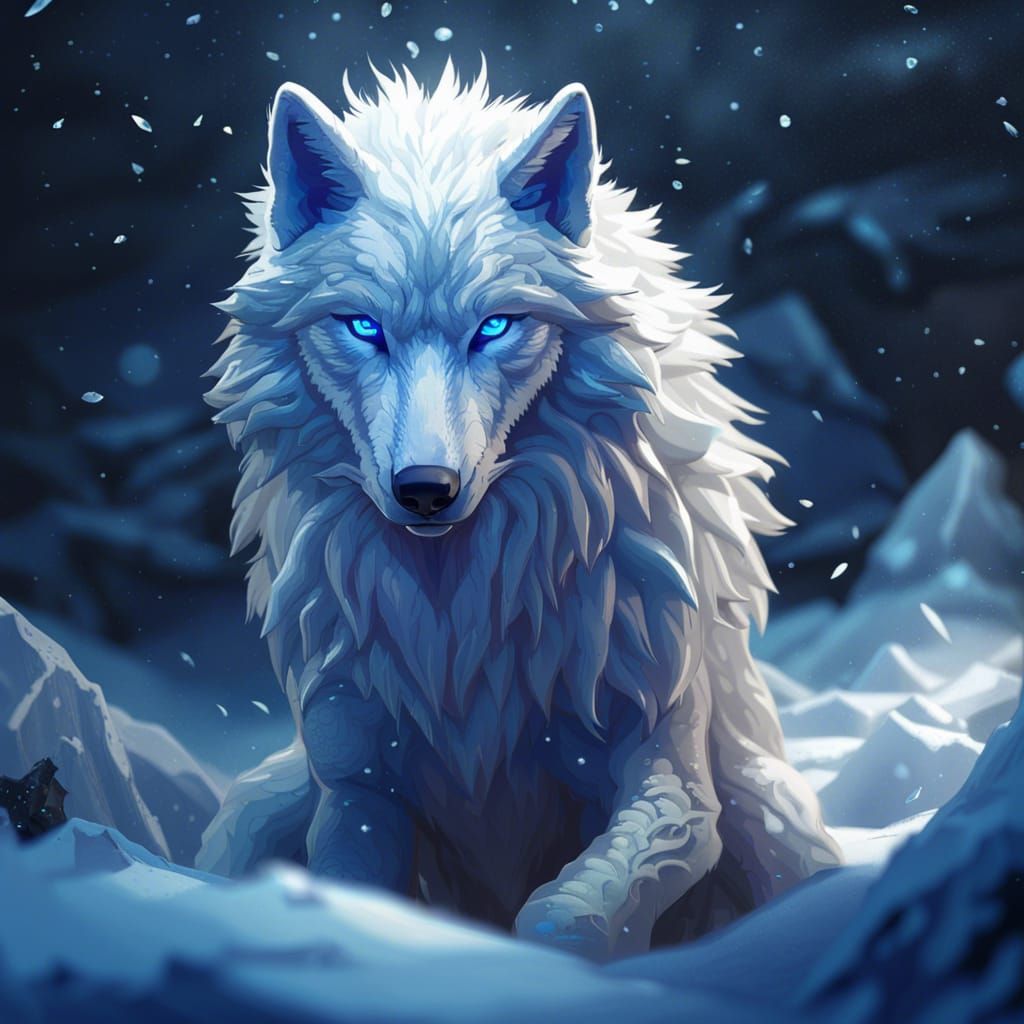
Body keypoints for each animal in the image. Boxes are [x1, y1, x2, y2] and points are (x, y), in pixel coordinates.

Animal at [196, 61, 842, 960]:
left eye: (496, 326)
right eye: (362, 327)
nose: (425, 487)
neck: (460, 621)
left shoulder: (670, 776)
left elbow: (562, 914)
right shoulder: (361, 794)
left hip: (773, 810)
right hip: (257, 807)